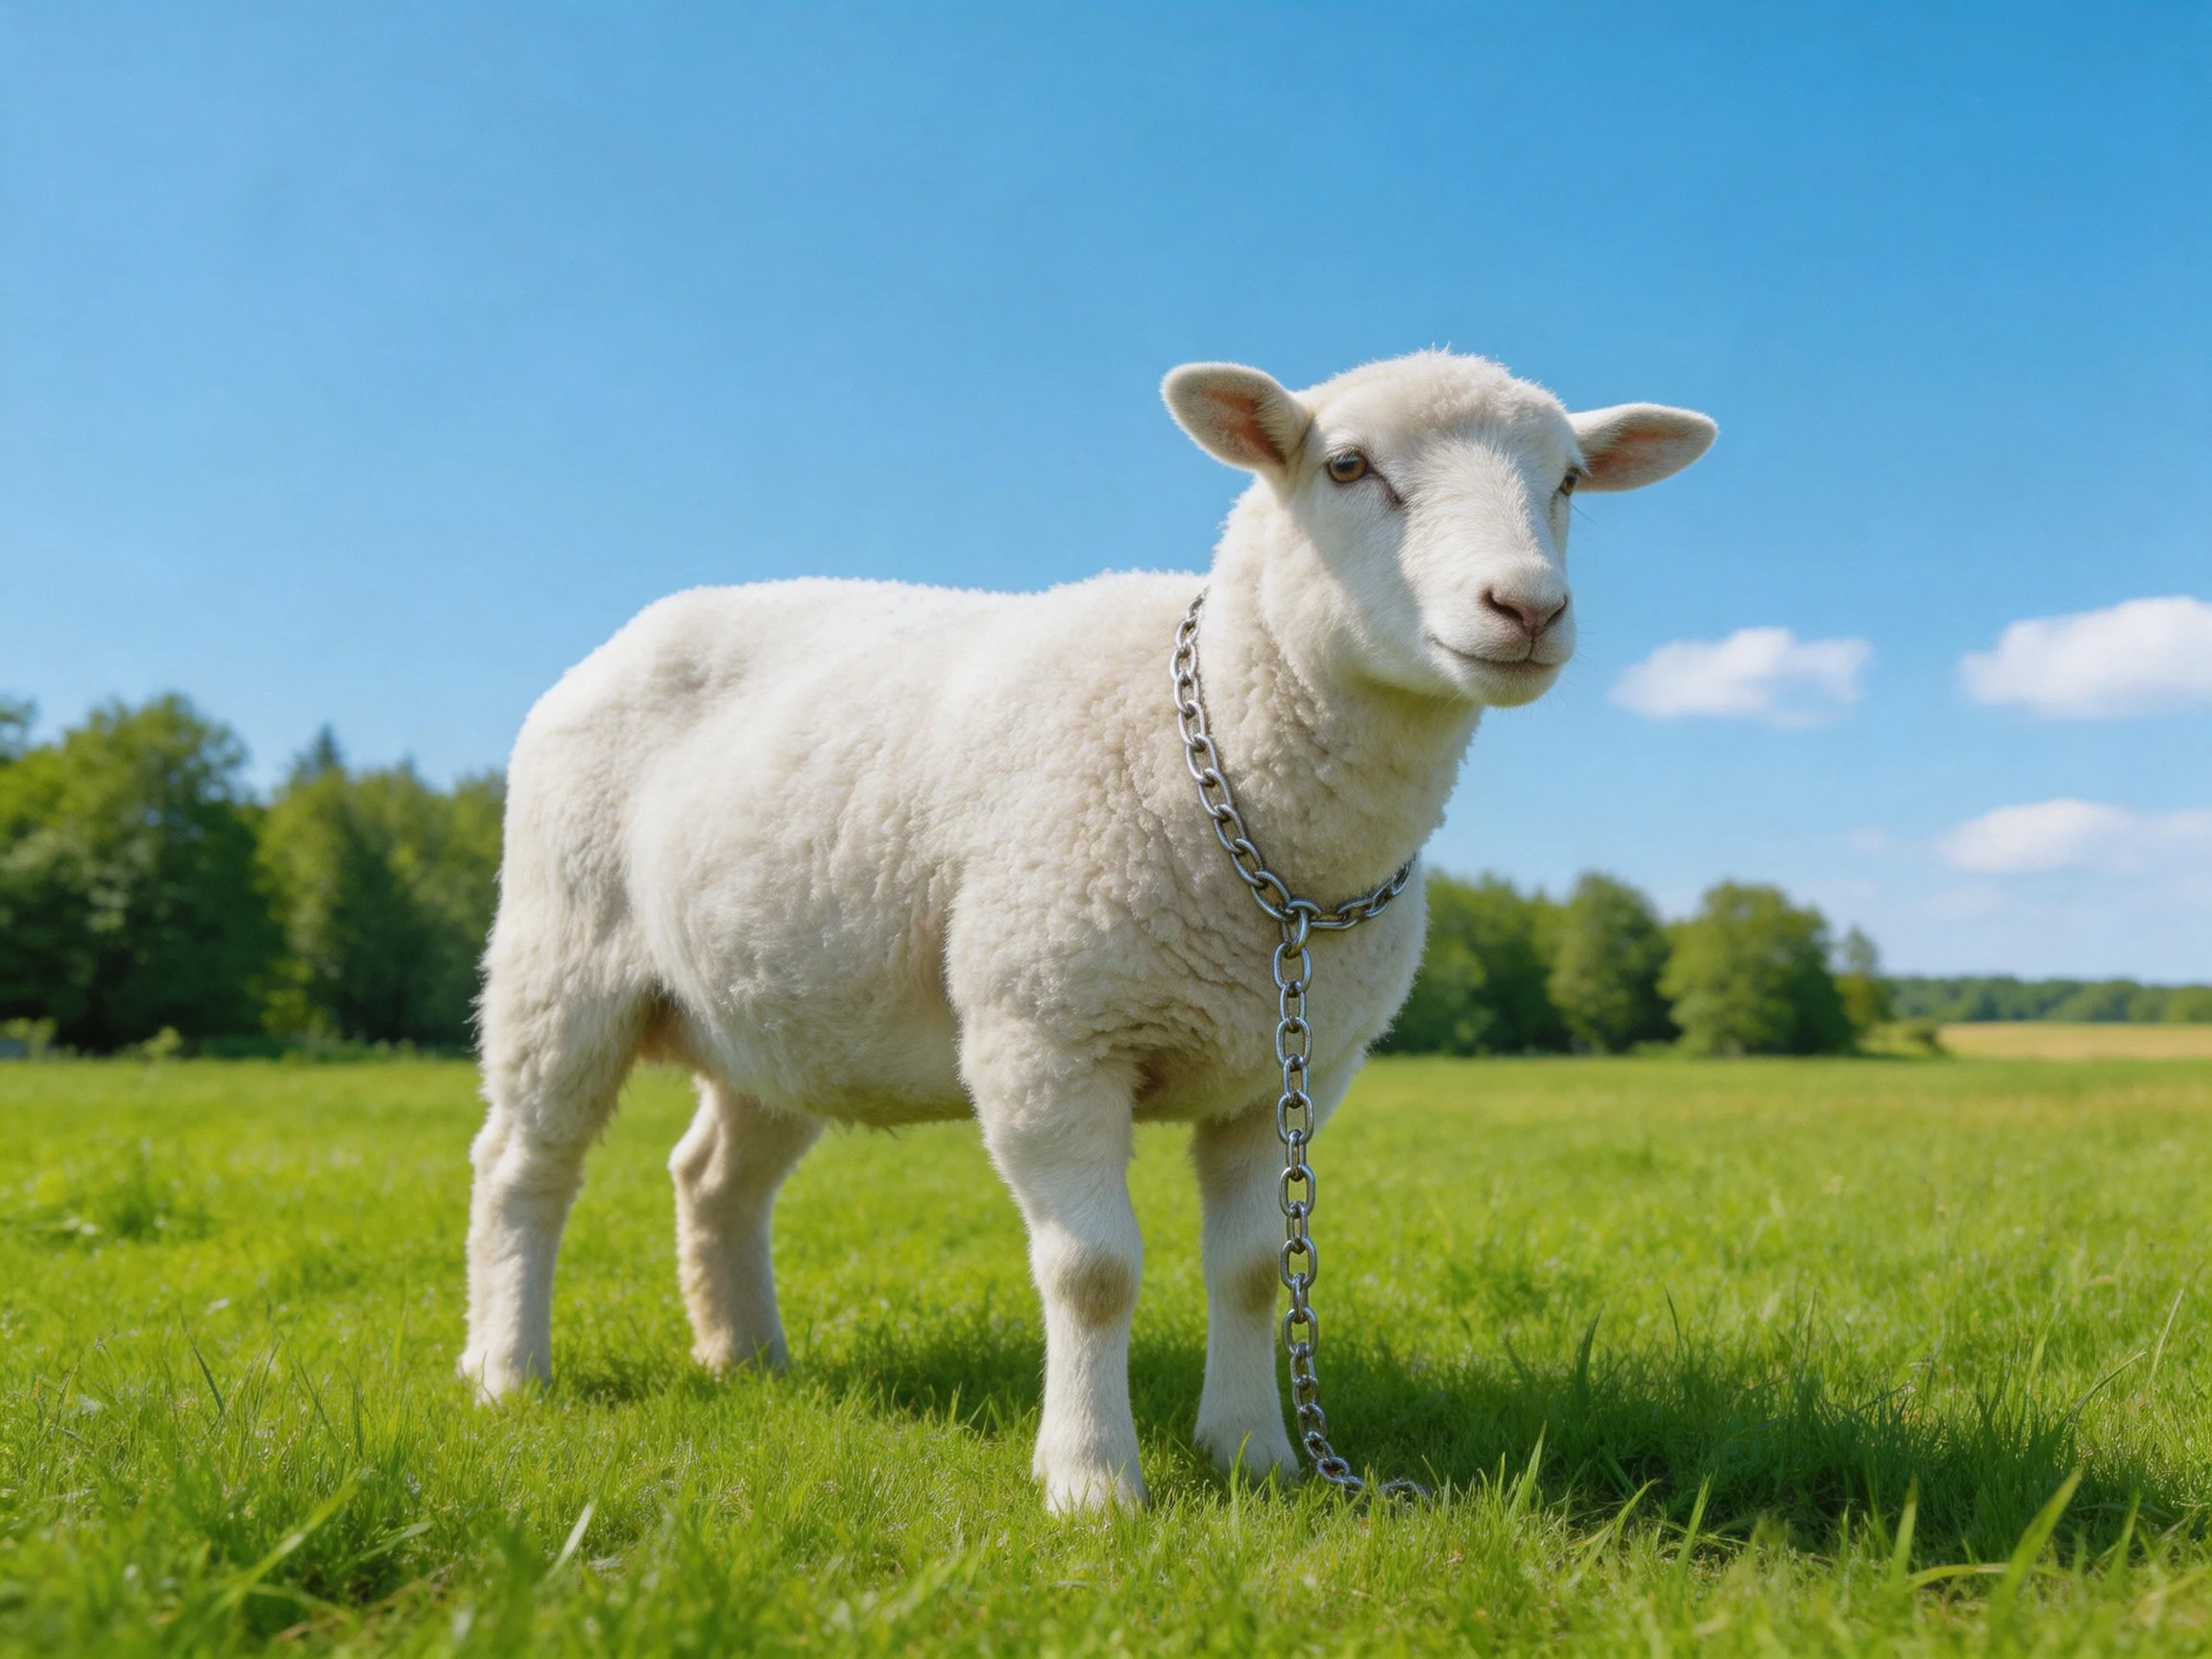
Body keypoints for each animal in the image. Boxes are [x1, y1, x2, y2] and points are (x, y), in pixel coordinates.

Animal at [459, 348, 1715, 1511]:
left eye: (1568, 480)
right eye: (1349, 466)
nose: (1529, 609)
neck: (1278, 855)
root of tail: (625, 637)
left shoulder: (1285, 1073)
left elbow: (1254, 1269)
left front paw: (1255, 1453)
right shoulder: (1048, 1034)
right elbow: (1094, 1272)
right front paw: (1092, 1481)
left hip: (778, 1010)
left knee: (715, 1177)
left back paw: (746, 1358)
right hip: (560, 960)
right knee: (523, 1166)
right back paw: (507, 1370)